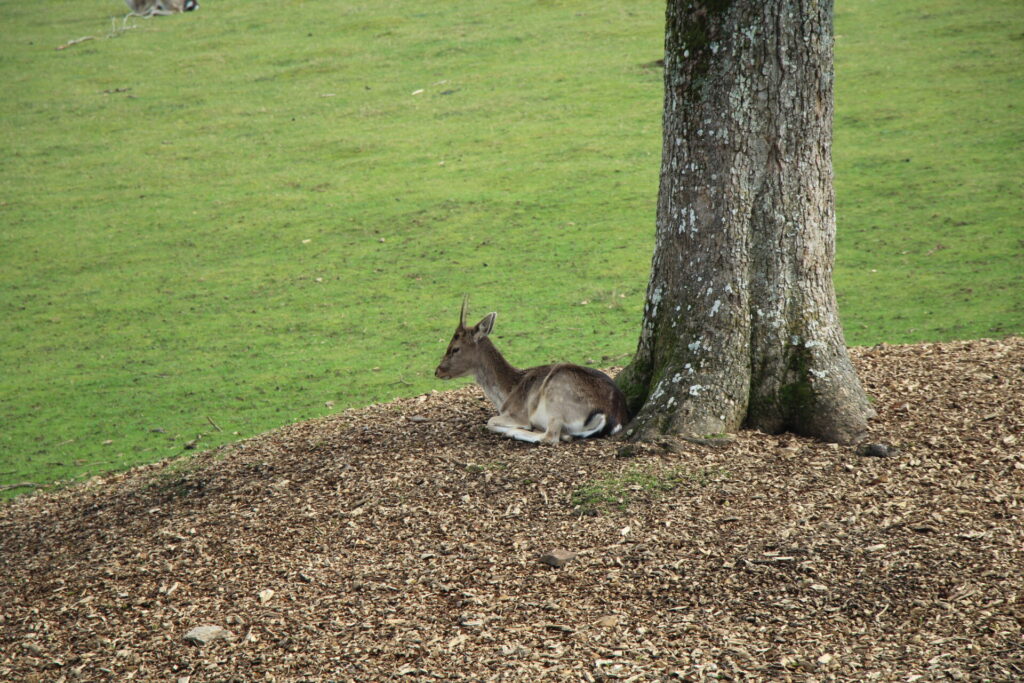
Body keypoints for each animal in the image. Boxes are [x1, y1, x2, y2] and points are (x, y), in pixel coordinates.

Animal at [435, 299, 630, 445]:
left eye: (455, 349)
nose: (438, 371)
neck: (506, 393)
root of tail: (612, 415)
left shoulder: (518, 414)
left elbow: (490, 421)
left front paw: (515, 428)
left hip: (556, 398)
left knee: (550, 437)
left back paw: (517, 432)